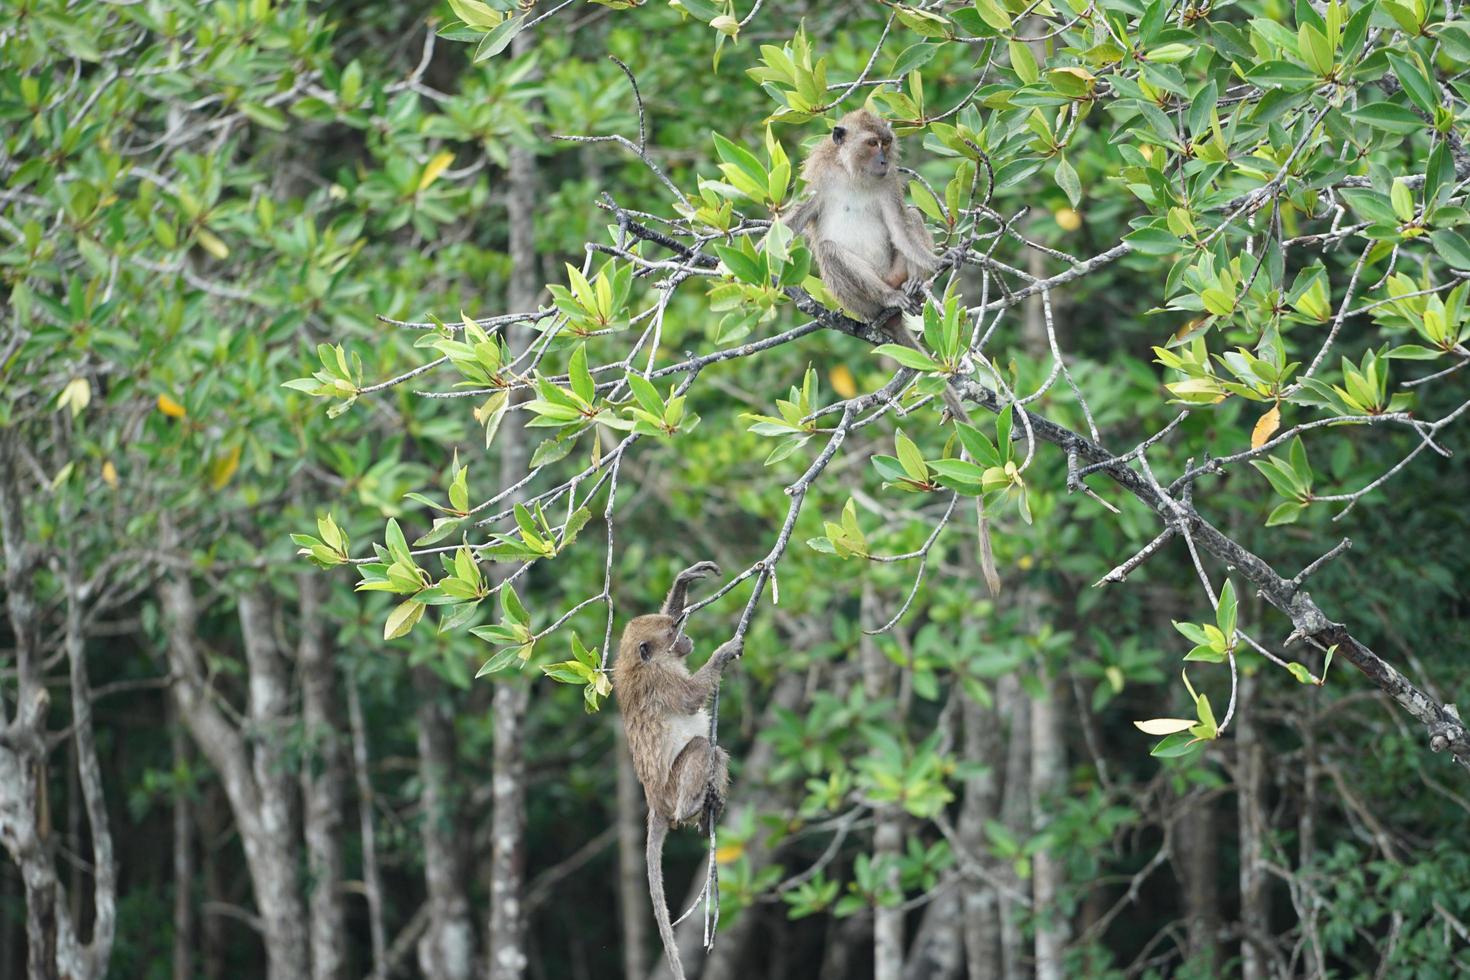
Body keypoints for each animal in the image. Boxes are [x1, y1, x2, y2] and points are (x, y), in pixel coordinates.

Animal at [611, 558, 740, 980]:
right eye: (673, 633)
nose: (687, 640)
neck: (641, 660)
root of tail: (655, 803)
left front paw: (684, 581)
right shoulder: (661, 680)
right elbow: (692, 699)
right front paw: (722, 654)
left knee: (716, 753)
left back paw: (709, 808)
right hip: (669, 787)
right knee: (702, 747)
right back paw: (691, 809)